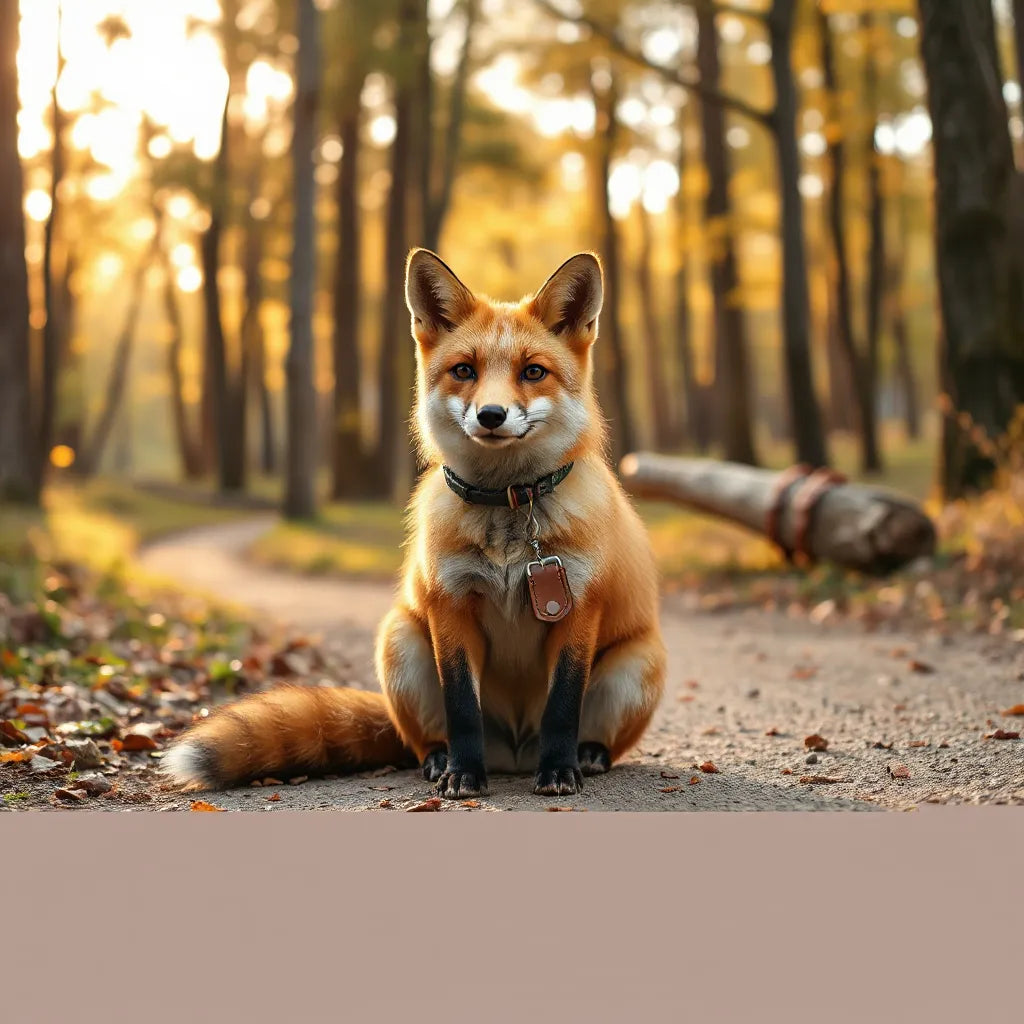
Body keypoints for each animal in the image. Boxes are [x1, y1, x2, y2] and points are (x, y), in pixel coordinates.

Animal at [163, 248, 666, 798]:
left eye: (533, 372)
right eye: (464, 370)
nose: (491, 415)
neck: (509, 511)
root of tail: (514, 752)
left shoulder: (578, 608)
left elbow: (562, 707)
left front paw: (558, 771)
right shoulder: (449, 604)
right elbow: (461, 707)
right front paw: (463, 775)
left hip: (638, 664)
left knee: (593, 734)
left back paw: (587, 755)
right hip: (399, 640)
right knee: (424, 739)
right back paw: (440, 760)